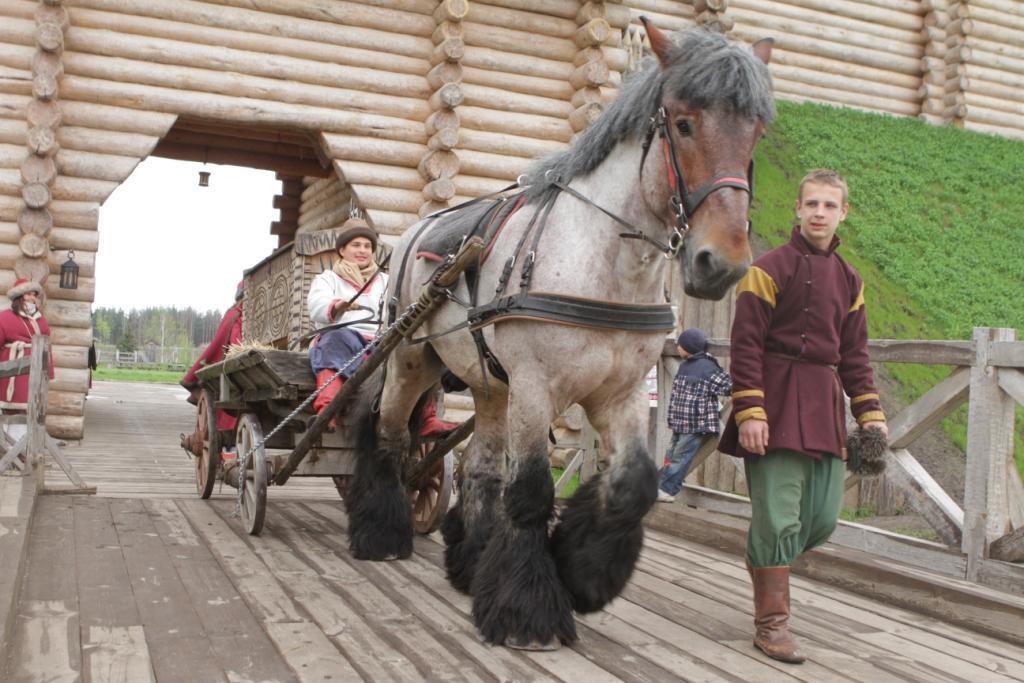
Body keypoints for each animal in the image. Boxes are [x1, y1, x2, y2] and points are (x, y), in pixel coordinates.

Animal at [346, 21, 774, 651]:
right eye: (684, 122)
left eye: (755, 133)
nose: (720, 263)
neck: (603, 263)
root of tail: (413, 233)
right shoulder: (535, 386)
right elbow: (529, 490)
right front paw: (528, 609)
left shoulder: (621, 393)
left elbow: (633, 484)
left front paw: (584, 573)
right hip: (410, 362)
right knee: (389, 437)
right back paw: (380, 532)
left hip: (488, 387)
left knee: (476, 466)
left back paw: (472, 561)